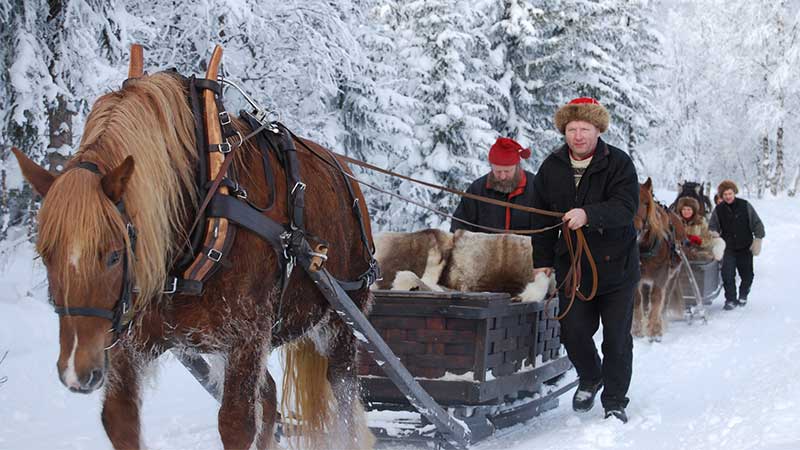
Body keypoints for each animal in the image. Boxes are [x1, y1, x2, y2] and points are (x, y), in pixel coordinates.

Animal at [10, 51, 376, 448]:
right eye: (46, 255)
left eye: (114, 255)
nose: (77, 371)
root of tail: (347, 176)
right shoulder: (130, 338)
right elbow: (120, 419)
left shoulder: (247, 336)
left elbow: (235, 424)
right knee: (268, 394)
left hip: (339, 322)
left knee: (341, 393)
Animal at [632, 178, 688, 342]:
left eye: (646, 203)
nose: (635, 230)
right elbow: (637, 300)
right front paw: (637, 330)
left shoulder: (661, 276)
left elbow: (657, 299)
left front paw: (655, 332)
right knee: (645, 300)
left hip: (673, 275)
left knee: (665, 299)